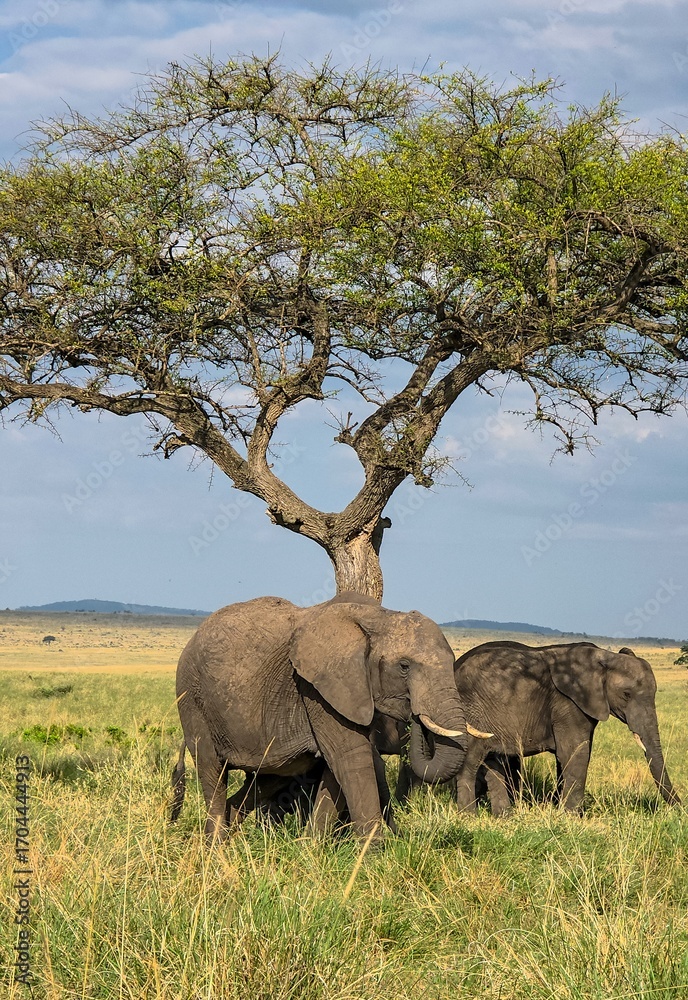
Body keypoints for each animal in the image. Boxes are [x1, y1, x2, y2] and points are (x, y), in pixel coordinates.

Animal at [171, 593, 467, 842]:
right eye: (404, 667)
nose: (415, 713)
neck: (380, 616)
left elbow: (335, 769)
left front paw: (311, 848)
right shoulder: (318, 689)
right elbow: (350, 758)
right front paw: (372, 858)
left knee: (265, 778)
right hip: (192, 698)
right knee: (212, 770)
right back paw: (215, 848)